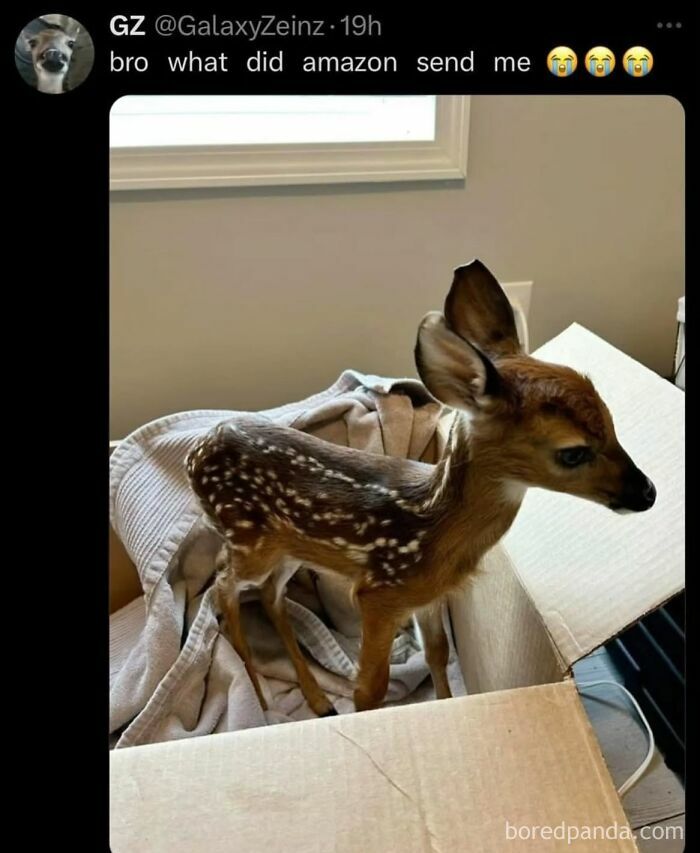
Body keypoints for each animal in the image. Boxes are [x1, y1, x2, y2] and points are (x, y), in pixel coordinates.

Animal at [187, 259, 657, 716]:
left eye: (611, 421)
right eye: (572, 453)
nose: (648, 492)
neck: (435, 529)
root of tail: (198, 451)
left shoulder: (429, 598)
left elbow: (437, 653)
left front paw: (447, 703)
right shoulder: (378, 593)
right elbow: (370, 690)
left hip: (290, 548)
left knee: (268, 595)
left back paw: (318, 700)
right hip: (249, 539)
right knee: (221, 588)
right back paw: (263, 696)